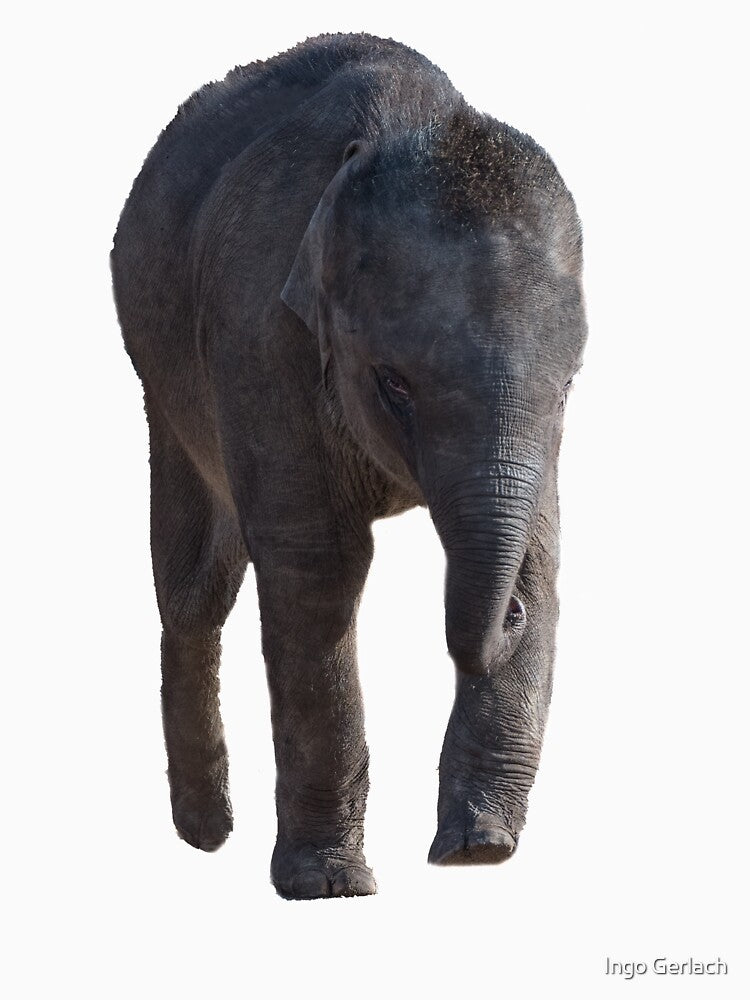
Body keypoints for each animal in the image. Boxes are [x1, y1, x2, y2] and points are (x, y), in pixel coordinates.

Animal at [111, 32, 587, 899]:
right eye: (393, 382)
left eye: (570, 386)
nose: (504, 619)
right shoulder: (258, 332)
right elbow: (317, 565)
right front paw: (329, 888)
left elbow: (541, 551)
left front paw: (478, 851)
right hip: (157, 368)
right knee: (194, 588)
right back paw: (206, 834)